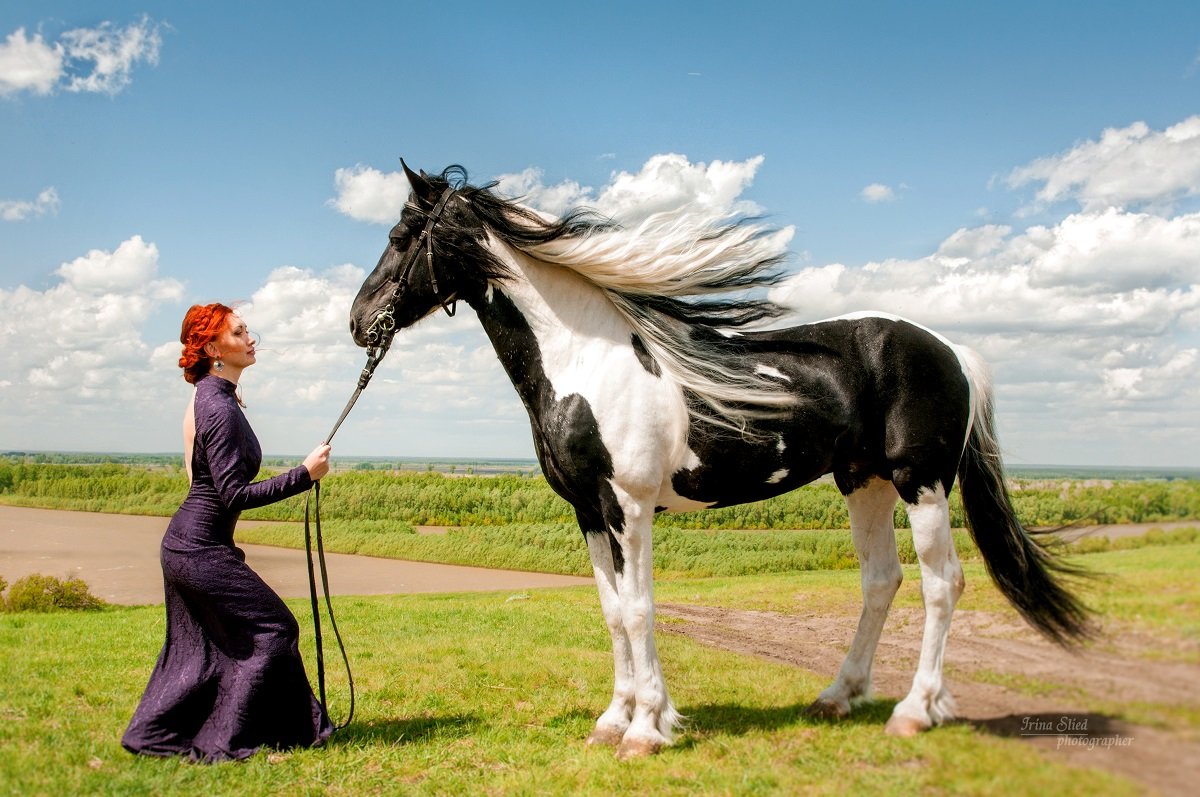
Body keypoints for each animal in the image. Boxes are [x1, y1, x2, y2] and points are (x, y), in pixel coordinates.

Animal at [350, 163, 1099, 758]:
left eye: (400, 236)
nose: (358, 321)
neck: (587, 360)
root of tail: (952, 351)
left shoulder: (629, 507)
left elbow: (641, 608)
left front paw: (646, 730)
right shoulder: (588, 511)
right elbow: (612, 611)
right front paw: (613, 719)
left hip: (922, 483)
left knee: (943, 584)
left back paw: (915, 710)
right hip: (865, 484)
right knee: (881, 581)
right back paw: (837, 695)